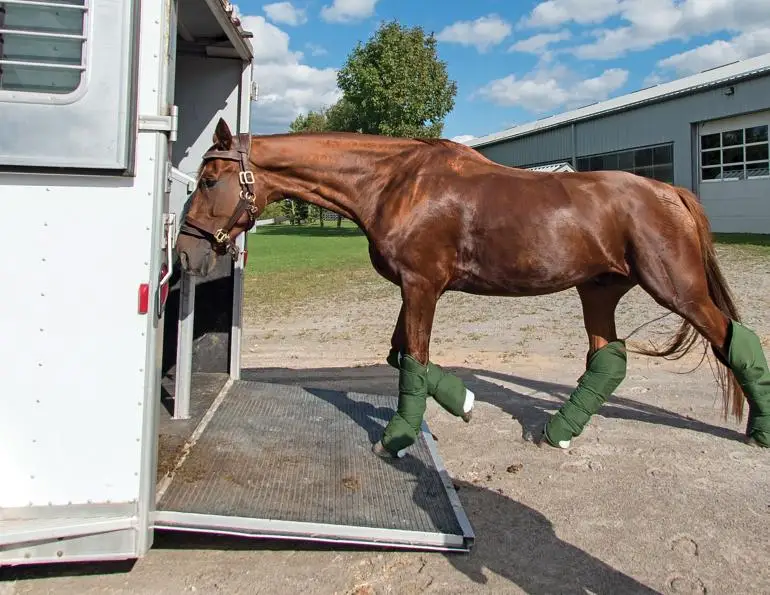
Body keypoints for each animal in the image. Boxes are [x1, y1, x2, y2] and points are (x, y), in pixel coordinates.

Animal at [175, 117, 770, 458]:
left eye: (209, 180)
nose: (184, 255)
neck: (395, 183)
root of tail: (669, 192)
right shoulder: (414, 289)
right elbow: (400, 356)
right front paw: (462, 400)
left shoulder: (421, 287)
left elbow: (412, 359)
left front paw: (397, 438)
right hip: (599, 291)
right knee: (609, 359)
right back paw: (559, 430)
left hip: (678, 291)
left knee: (735, 339)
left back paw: (759, 431)